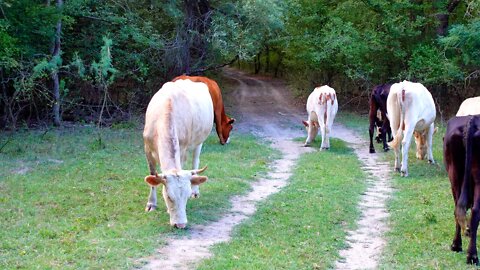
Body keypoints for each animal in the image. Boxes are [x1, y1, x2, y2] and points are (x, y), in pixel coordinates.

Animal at [142, 78, 214, 228]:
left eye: (186, 196)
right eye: (169, 197)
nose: (180, 224)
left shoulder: (183, 148)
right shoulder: (147, 148)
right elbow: (152, 175)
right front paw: (151, 204)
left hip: (199, 140)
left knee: (195, 160)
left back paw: (196, 190)